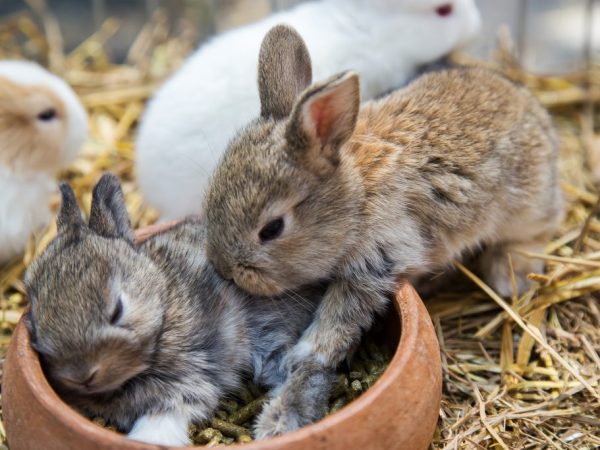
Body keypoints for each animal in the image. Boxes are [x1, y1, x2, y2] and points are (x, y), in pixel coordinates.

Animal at [25, 174, 336, 444]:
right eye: (35, 323)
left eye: (117, 311)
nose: (81, 376)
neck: (163, 310)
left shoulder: (190, 379)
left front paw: (148, 438)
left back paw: (278, 424)